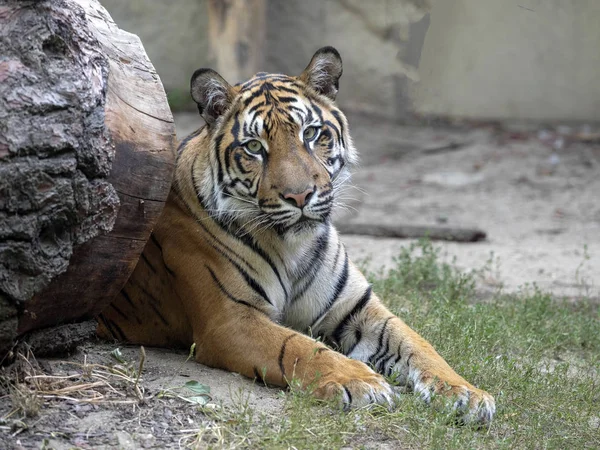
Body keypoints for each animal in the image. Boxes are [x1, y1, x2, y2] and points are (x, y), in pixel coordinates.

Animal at [96, 47, 494, 424]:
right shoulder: (230, 319)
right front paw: (361, 382)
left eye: (311, 134)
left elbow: (418, 344)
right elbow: (299, 347)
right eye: (254, 147)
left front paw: (465, 393)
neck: (293, 246)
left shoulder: (356, 306)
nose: (301, 196)